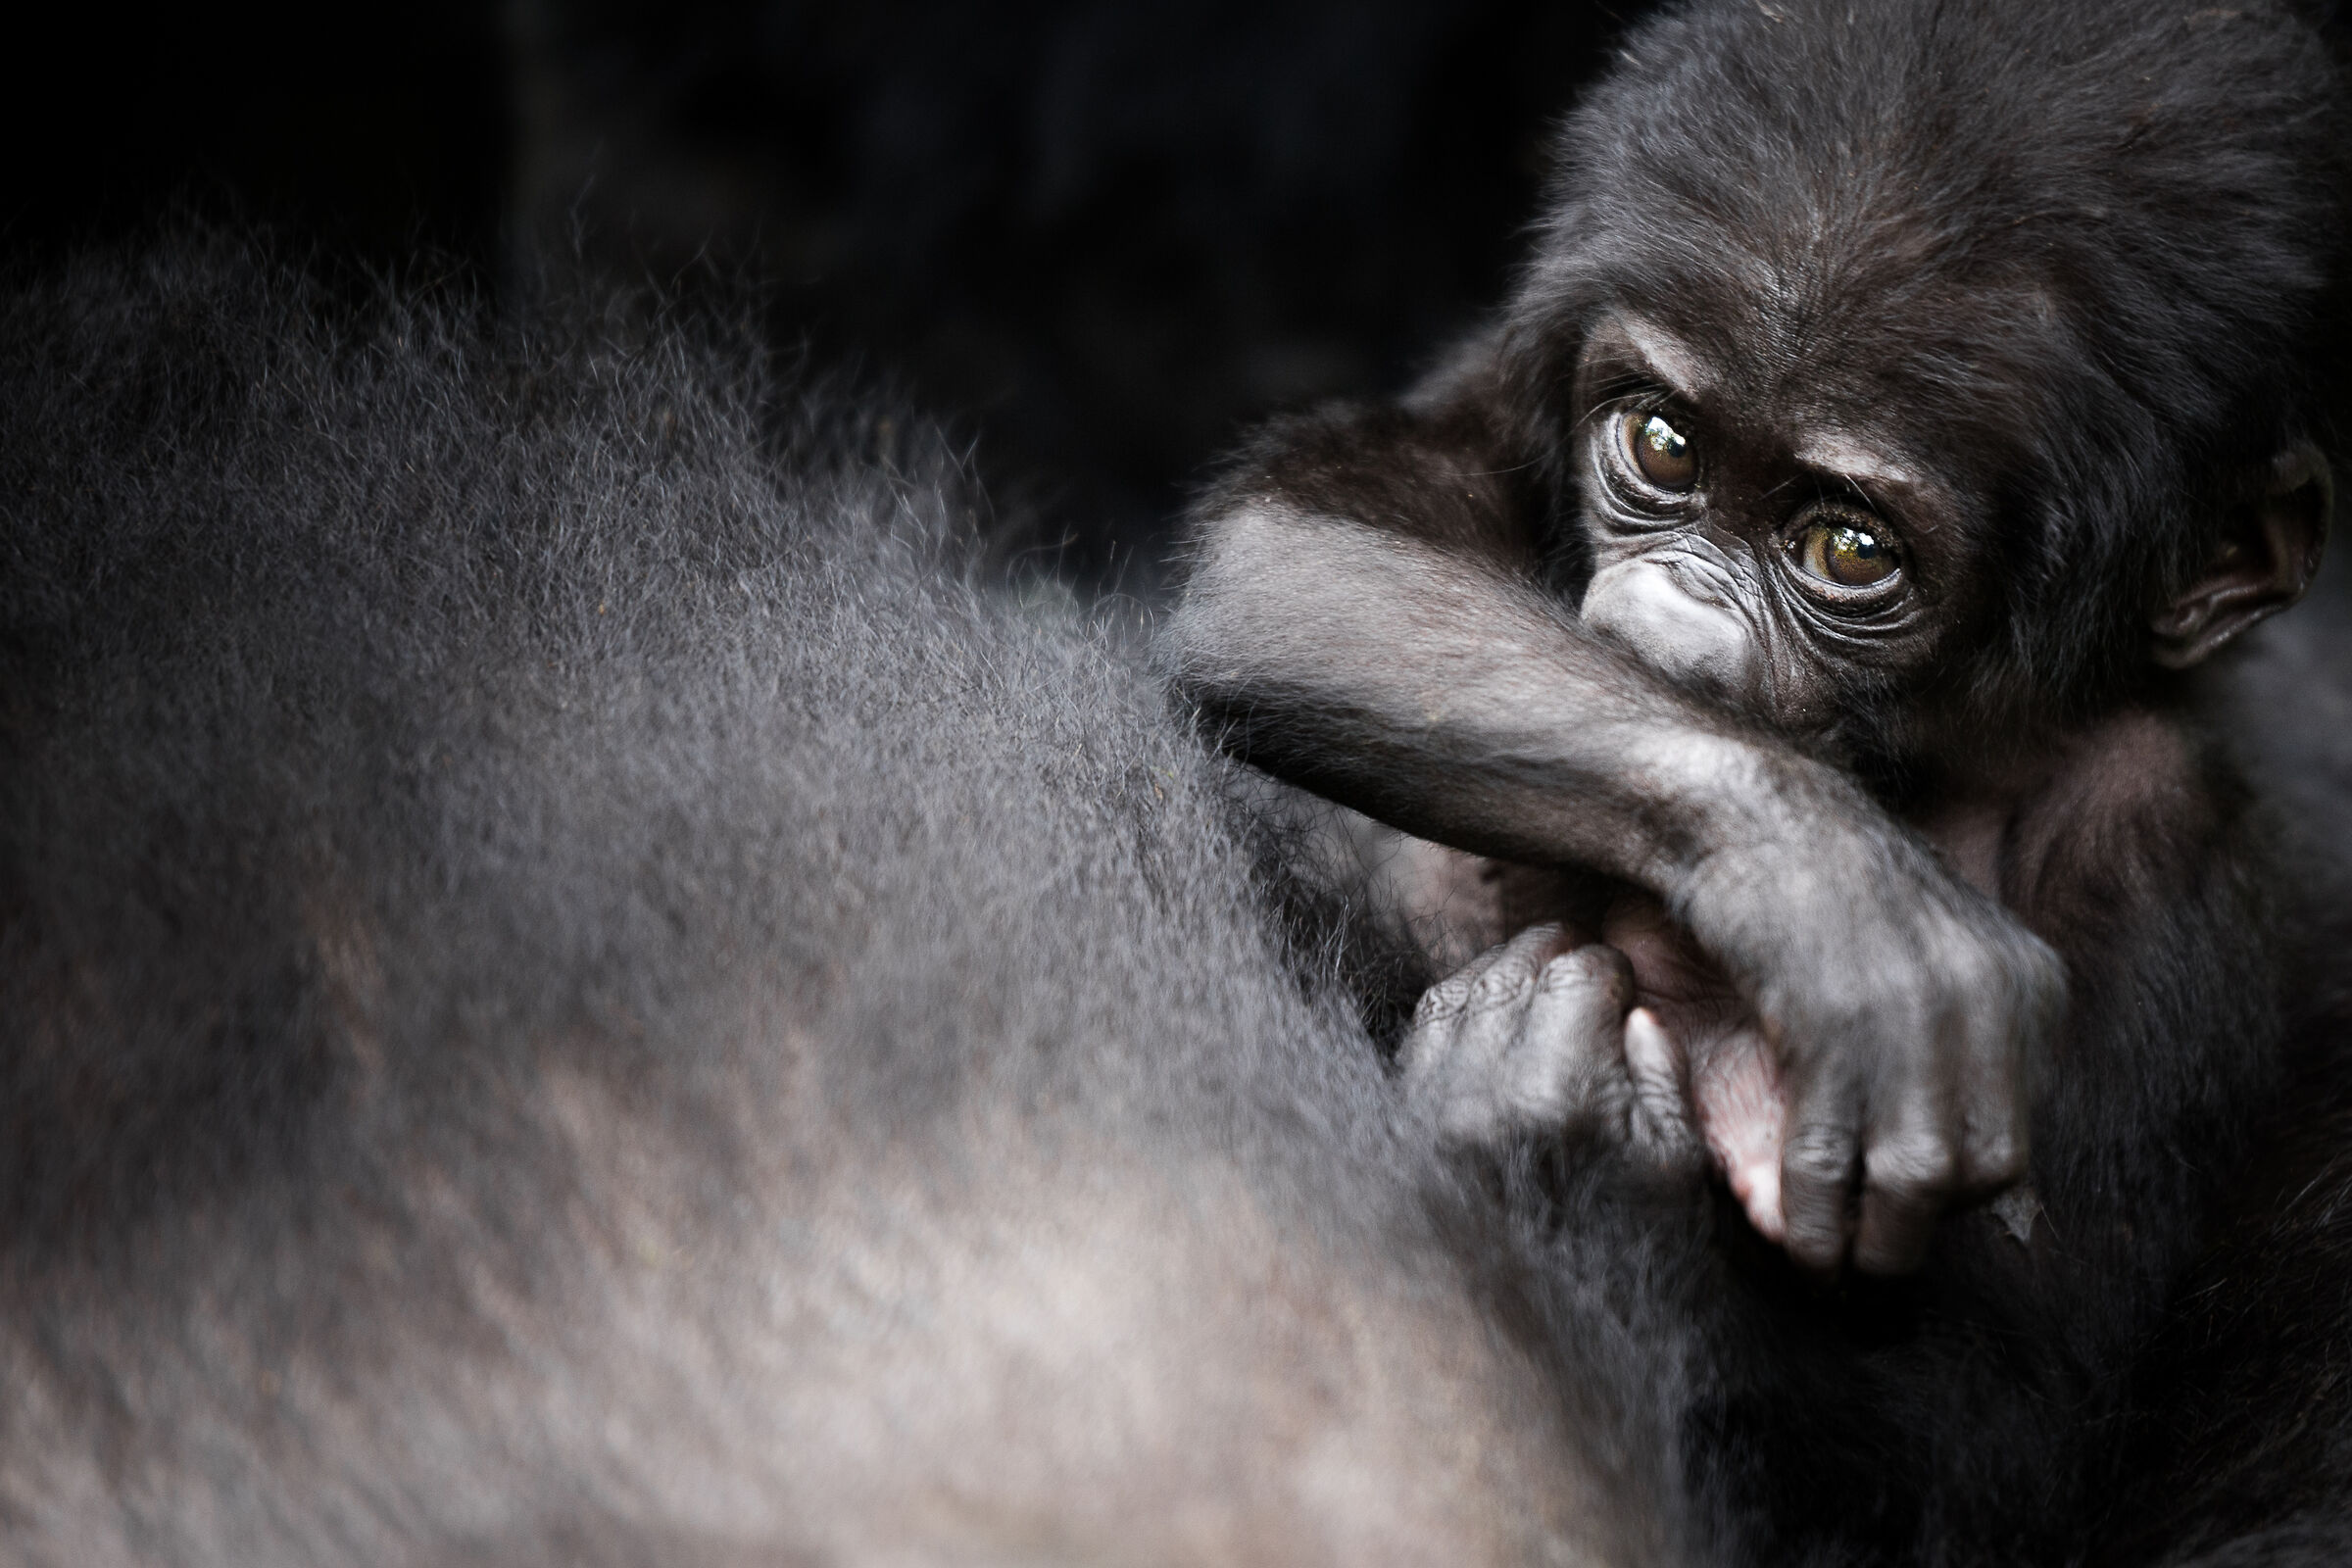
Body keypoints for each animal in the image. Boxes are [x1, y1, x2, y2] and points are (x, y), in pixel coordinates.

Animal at [1161, 0, 2349, 1560]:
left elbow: (1983, 1441)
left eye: (1847, 550)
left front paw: (1561, 1131)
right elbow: (1311, 526)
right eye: (1662, 445)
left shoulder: (2158, 844)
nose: (1665, 632)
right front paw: (1824, 890)